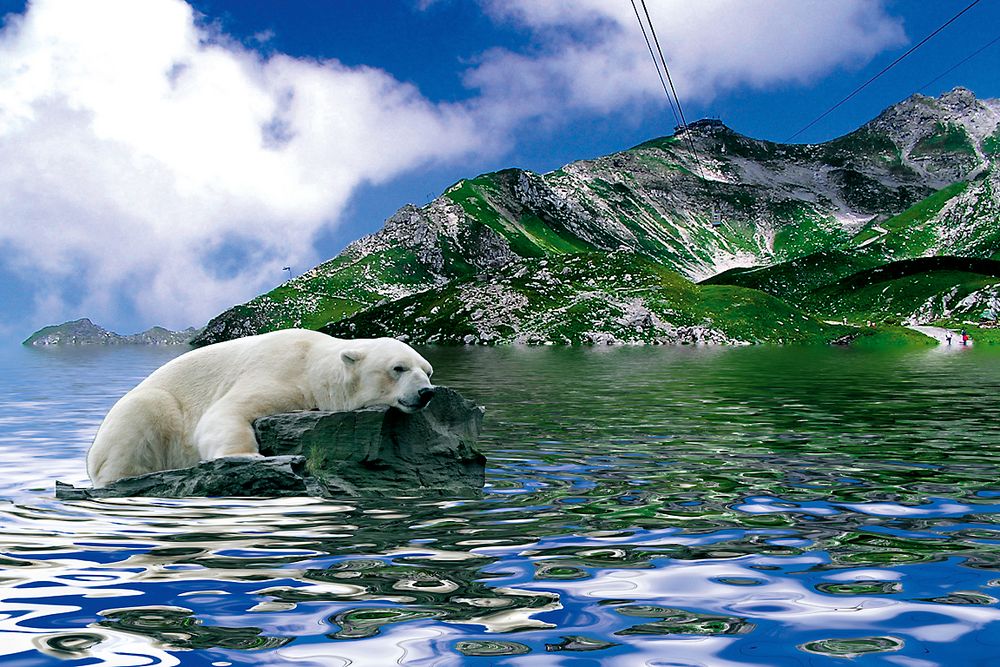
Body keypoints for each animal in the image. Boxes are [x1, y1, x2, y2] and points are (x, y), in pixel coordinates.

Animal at [83, 332, 434, 488]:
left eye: (427, 370)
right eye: (398, 368)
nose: (426, 392)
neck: (314, 365)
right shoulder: (281, 371)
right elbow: (222, 415)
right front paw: (249, 456)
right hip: (145, 410)